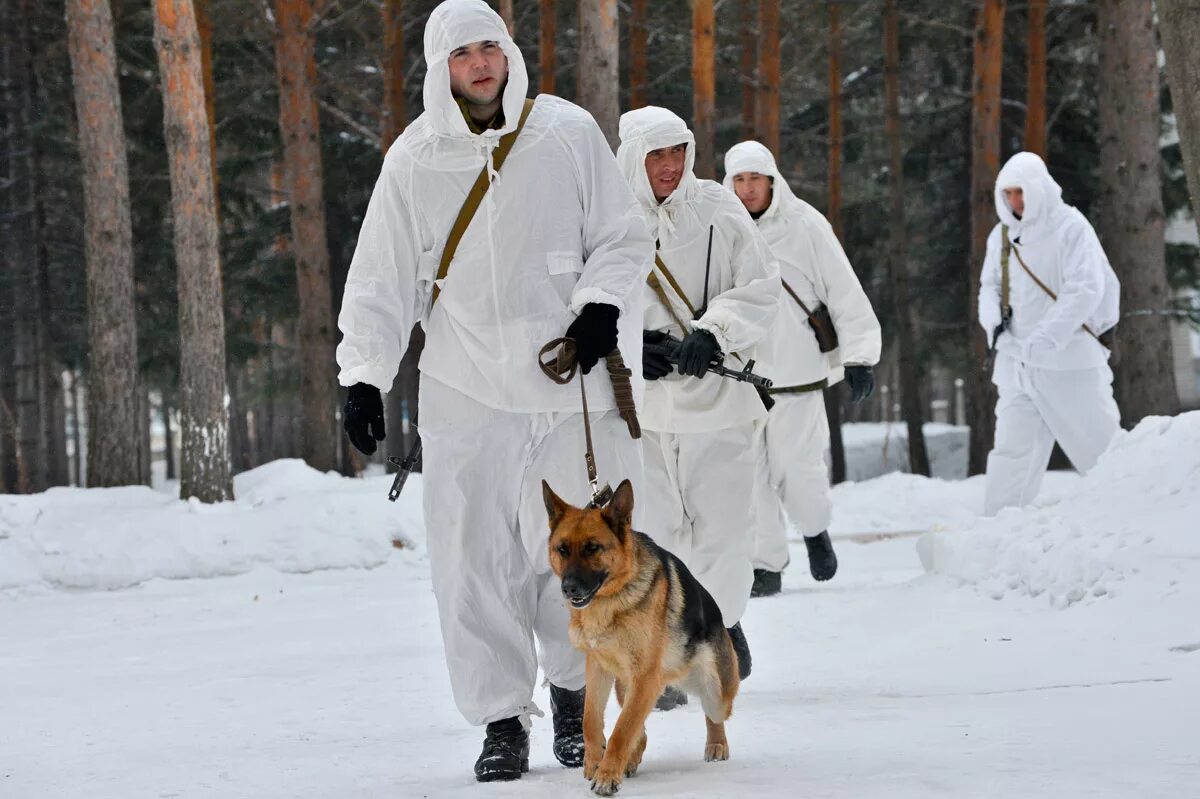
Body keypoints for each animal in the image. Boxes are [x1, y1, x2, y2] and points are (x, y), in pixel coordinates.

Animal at [547, 475, 739, 791]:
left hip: (714, 692)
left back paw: (716, 744)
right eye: (562, 549)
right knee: (639, 727)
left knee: (713, 714)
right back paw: (631, 758)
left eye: (593, 548)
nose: (569, 588)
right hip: (626, 685)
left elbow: (622, 731)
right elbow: (591, 719)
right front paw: (594, 762)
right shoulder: (599, 668)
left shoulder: (645, 676)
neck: (610, 601)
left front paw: (606, 776)